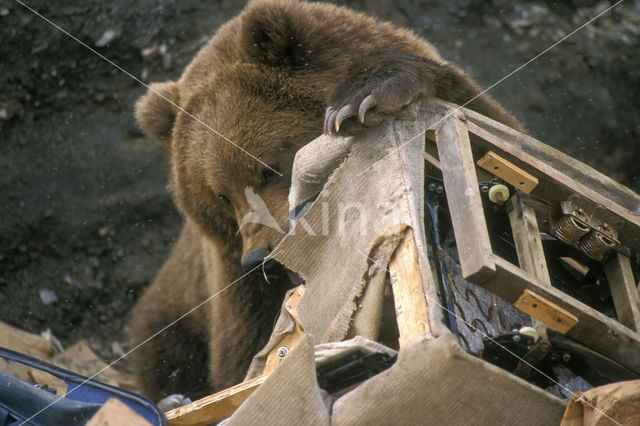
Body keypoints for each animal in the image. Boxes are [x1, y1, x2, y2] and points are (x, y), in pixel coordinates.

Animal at [127, 0, 524, 402]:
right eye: (221, 195)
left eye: (267, 170)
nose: (259, 258)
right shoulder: (235, 281)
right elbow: (243, 359)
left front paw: (362, 98)